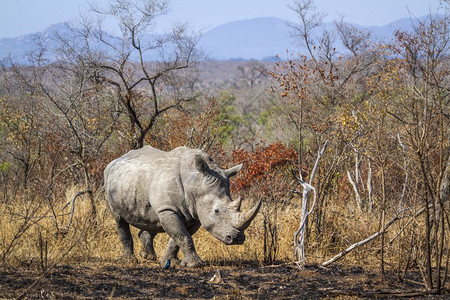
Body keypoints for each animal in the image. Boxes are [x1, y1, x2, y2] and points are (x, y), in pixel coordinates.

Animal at [104, 145, 262, 268]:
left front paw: (171, 263)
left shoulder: (194, 213)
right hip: (108, 182)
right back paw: (130, 260)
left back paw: (148, 257)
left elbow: (178, 237)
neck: (196, 182)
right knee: (119, 219)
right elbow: (182, 235)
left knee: (150, 218)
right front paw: (195, 265)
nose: (237, 239)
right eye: (216, 211)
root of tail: (115, 160)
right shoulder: (168, 209)